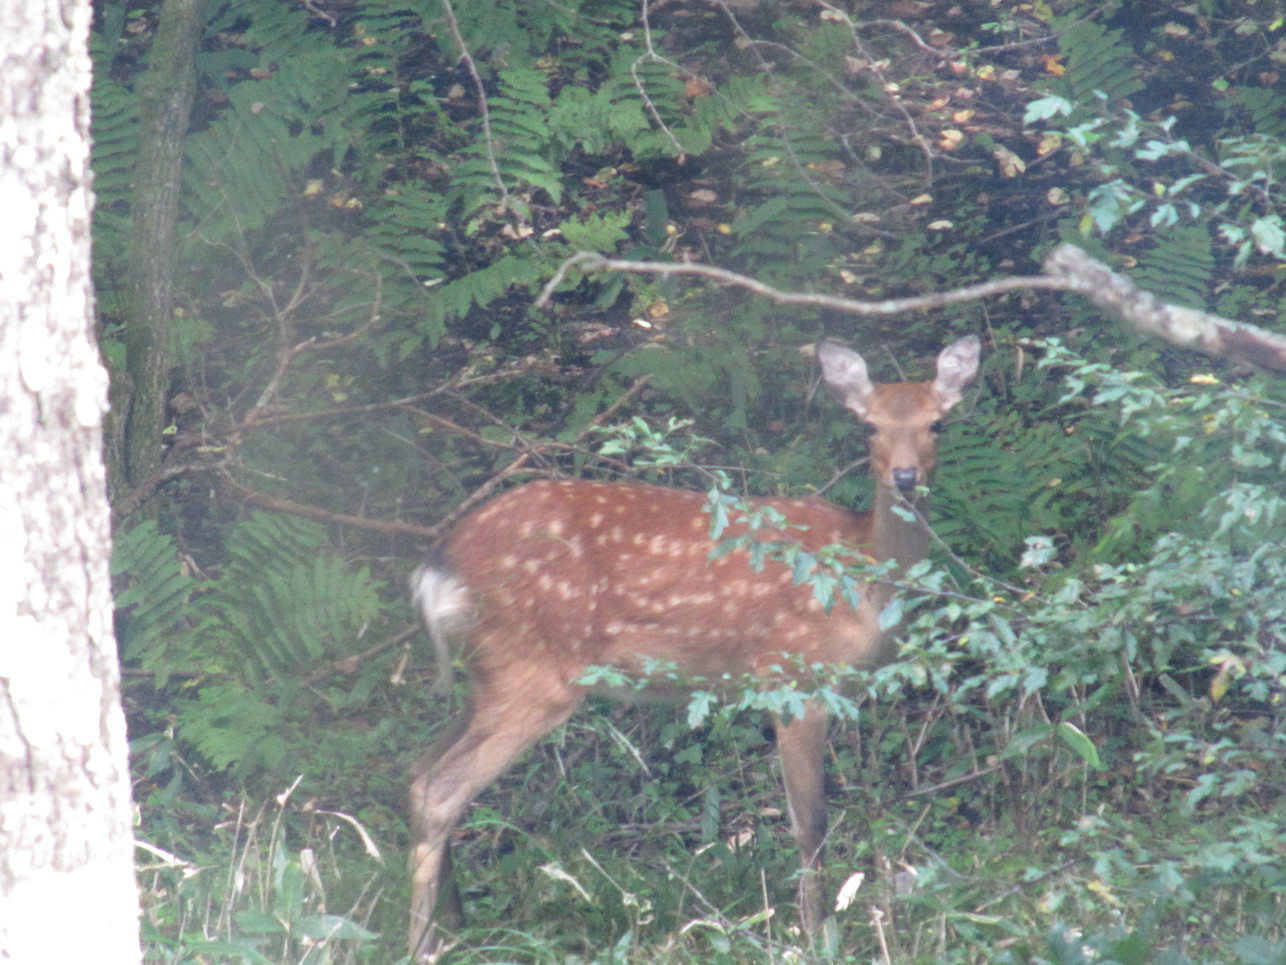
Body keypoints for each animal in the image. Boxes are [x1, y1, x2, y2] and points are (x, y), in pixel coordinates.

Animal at [406, 334, 977, 962]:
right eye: (869, 425)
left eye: (938, 422)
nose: (905, 476)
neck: (862, 570)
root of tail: (439, 565)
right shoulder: (794, 676)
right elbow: (811, 822)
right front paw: (818, 935)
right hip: (534, 670)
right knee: (440, 788)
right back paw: (419, 942)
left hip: (490, 671)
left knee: (417, 770)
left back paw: (453, 928)